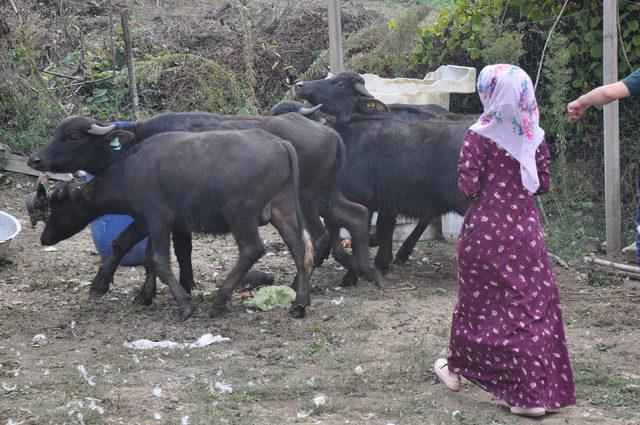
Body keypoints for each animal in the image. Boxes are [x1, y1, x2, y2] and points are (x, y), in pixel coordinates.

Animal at [30, 112, 380, 298]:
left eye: (73, 137)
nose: (36, 159)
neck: (136, 142)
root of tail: (329, 132)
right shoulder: (162, 215)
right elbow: (147, 246)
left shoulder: (160, 214)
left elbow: (138, 246)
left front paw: (107, 285)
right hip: (323, 197)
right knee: (357, 215)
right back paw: (358, 272)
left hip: (306, 199)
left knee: (318, 238)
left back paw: (300, 286)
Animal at [41, 129, 314, 318]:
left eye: (59, 207)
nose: (44, 238)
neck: (130, 173)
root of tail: (281, 143)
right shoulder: (146, 222)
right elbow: (131, 249)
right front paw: (132, 292)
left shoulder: (158, 220)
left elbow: (159, 260)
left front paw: (184, 304)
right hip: (283, 208)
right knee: (300, 250)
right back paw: (299, 304)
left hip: (240, 213)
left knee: (252, 249)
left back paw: (219, 301)